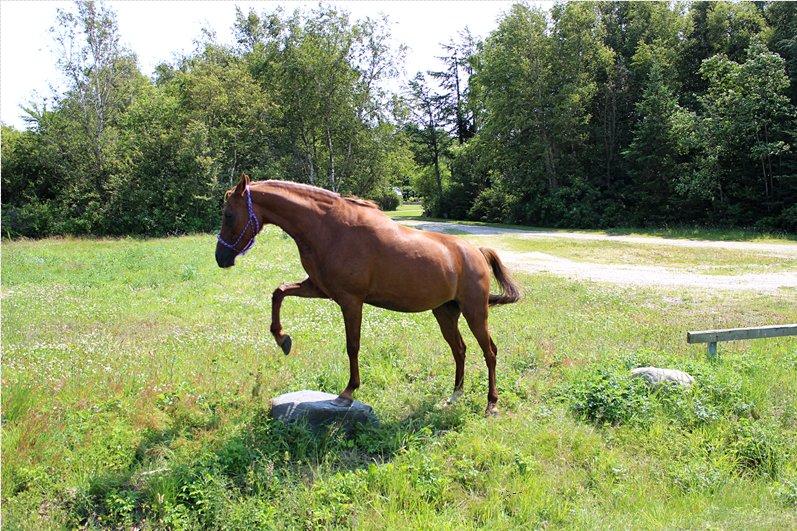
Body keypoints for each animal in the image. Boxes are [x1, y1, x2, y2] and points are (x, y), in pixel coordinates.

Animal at [215, 175, 520, 416]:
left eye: (229, 215)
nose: (221, 258)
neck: (329, 229)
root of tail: (475, 251)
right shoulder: (319, 289)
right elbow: (278, 292)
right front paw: (283, 339)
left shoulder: (351, 301)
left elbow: (352, 346)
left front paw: (347, 392)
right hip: (445, 312)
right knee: (460, 350)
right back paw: (454, 396)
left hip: (475, 312)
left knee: (490, 351)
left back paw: (491, 404)